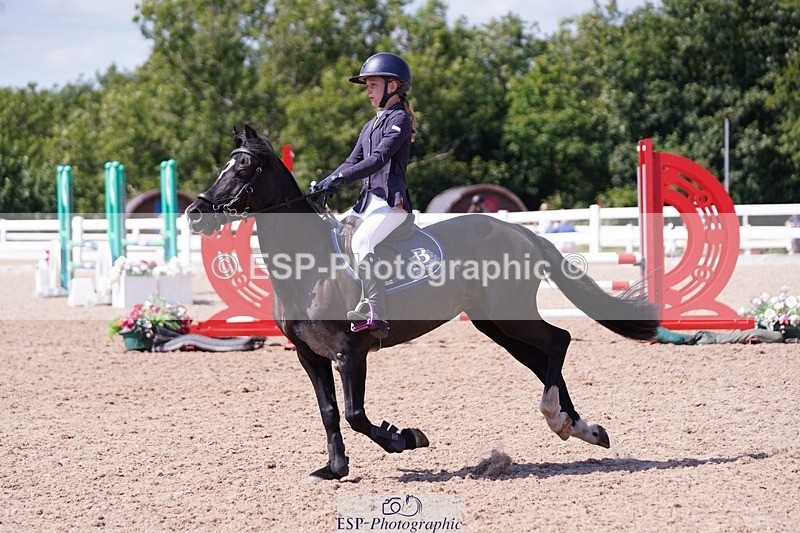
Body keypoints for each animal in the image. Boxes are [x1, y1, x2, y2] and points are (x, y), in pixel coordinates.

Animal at [185, 124, 660, 481]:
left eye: (244, 167)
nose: (195, 213)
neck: (310, 268)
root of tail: (518, 230)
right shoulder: (310, 355)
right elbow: (329, 411)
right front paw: (335, 468)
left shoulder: (350, 351)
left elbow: (356, 414)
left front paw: (406, 438)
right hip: (494, 324)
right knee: (542, 359)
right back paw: (581, 427)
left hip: (511, 316)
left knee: (558, 341)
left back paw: (558, 418)